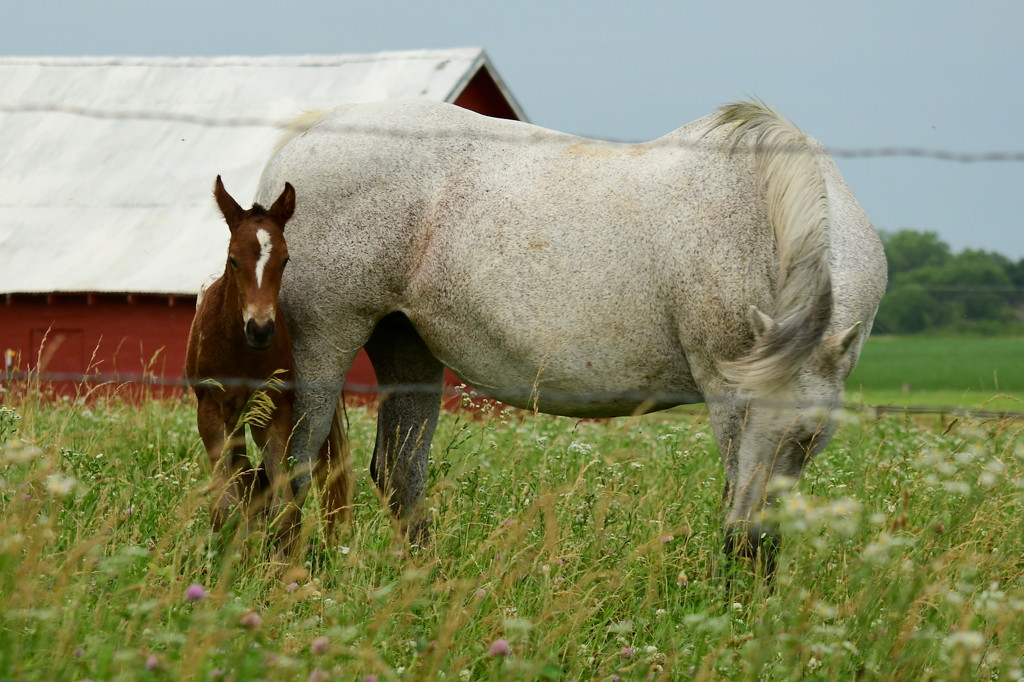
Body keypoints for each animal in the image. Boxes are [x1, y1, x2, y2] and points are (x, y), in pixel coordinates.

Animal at [256, 99, 888, 569]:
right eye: (745, 417)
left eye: (810, 435)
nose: (747, 544)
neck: (756, 210)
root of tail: (306, 138)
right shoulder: (725, 395)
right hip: (326, 341)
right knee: (292, 463)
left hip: (405, 347)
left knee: (398, 473)